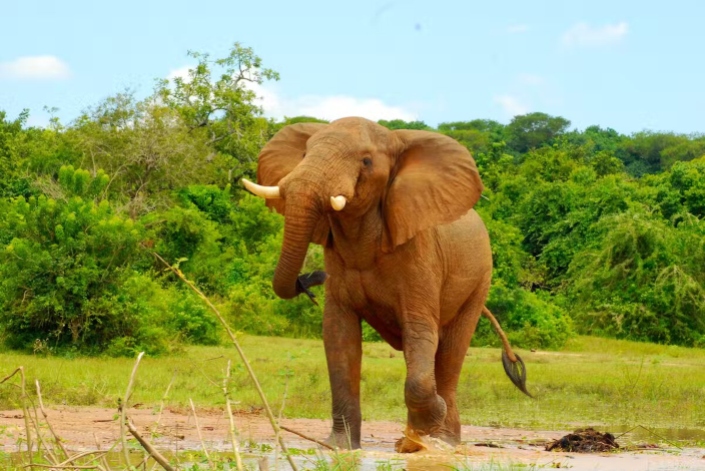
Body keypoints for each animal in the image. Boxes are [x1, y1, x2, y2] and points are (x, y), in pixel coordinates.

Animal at [242, 117, 528, 454]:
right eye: (304, 154)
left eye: (366, 161)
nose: (310, 279)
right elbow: (339, 338)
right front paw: (340, 446)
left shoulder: (420, 256)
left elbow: (419, 333)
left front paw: (432, 417)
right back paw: (414, 441)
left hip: (480, 280)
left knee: (449, 353)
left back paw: (438, 441)